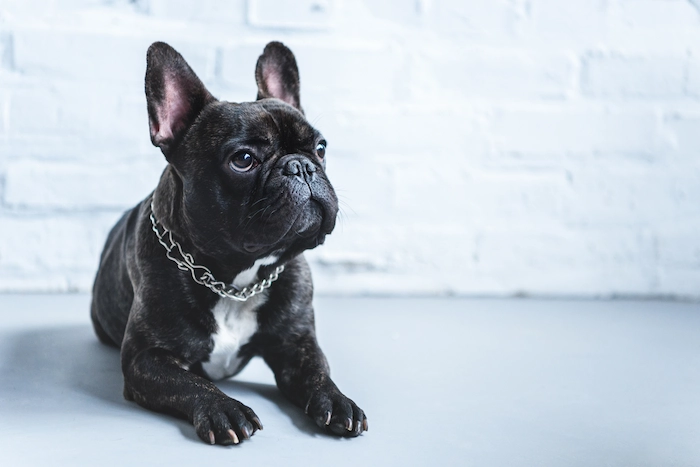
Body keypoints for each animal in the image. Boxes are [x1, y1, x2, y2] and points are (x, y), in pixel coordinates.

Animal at [89, 41, 366, 446]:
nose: (301, 165)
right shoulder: (147, 359)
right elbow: (190, 383)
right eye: (244, 160)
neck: (235, 280)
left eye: (320, 147)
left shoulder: (296, 344)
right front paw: (224, 408)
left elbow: (318, 371)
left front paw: (337, 400)